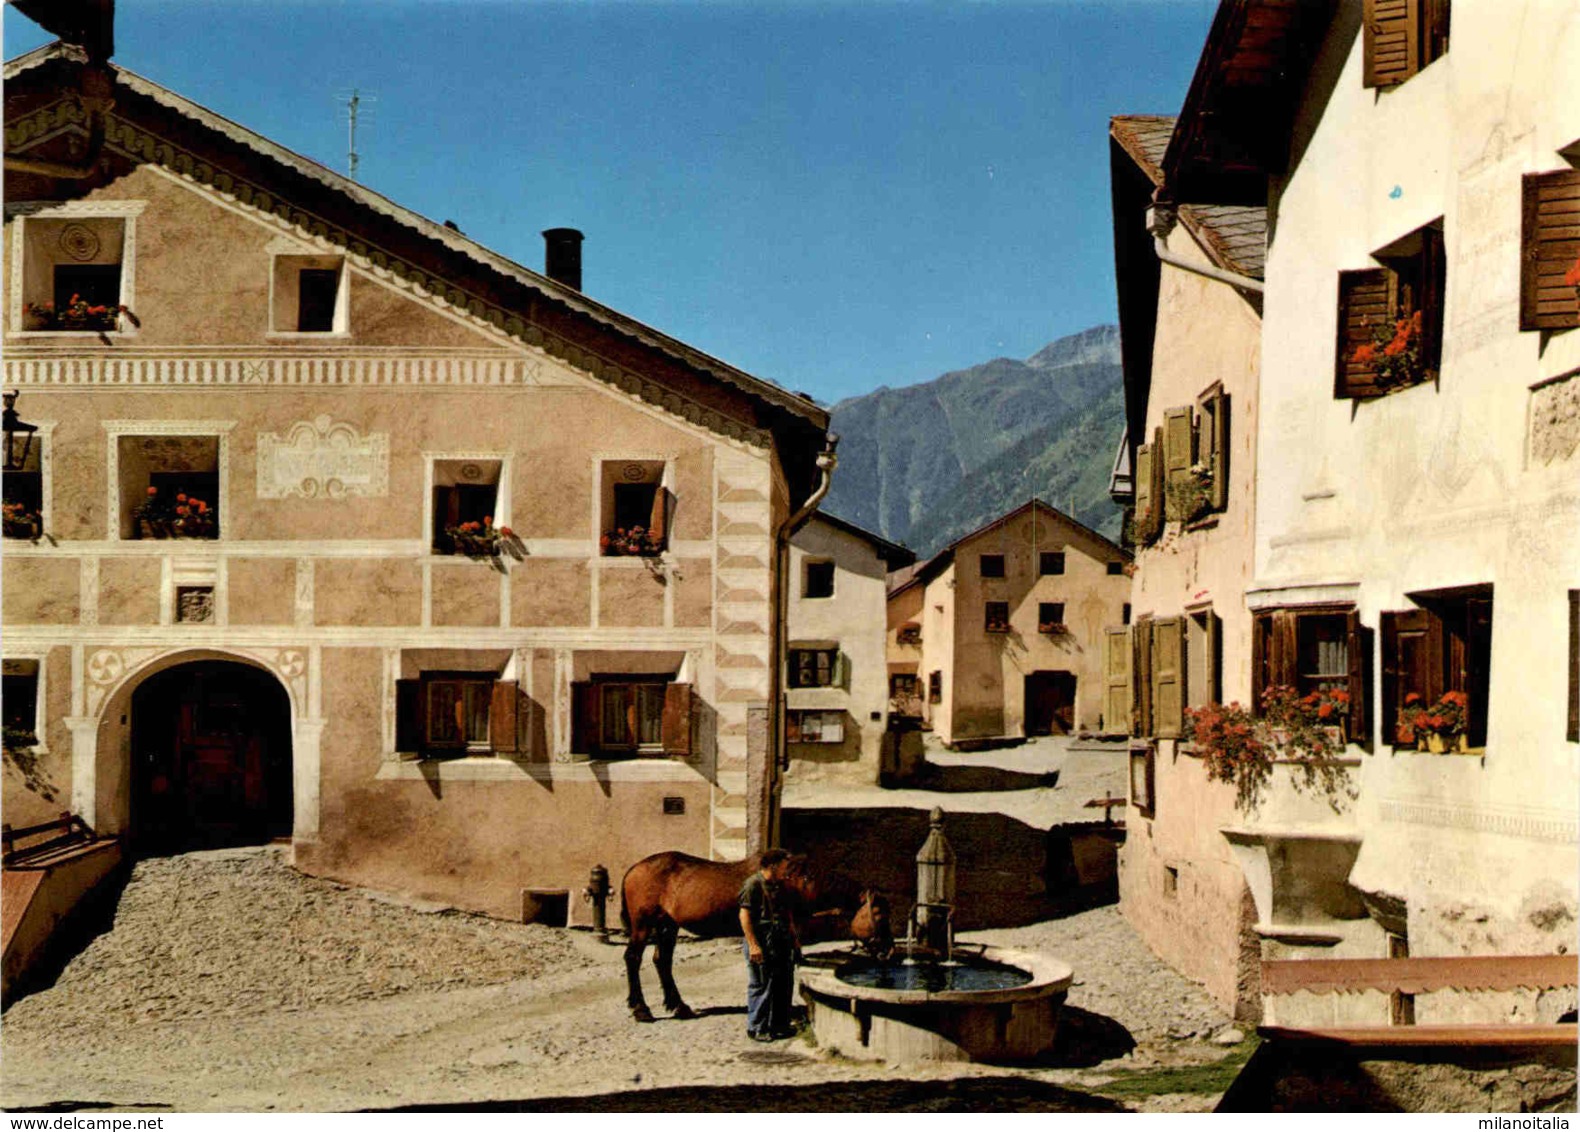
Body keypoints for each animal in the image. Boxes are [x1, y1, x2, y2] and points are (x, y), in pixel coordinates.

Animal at [619, 847, 821, 1024]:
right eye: (803, 876)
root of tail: (634, 869)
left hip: (667, 925)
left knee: (662, 960)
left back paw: (679, 1006)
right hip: (643, 923)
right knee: (633, 958)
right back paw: (641, 1009)